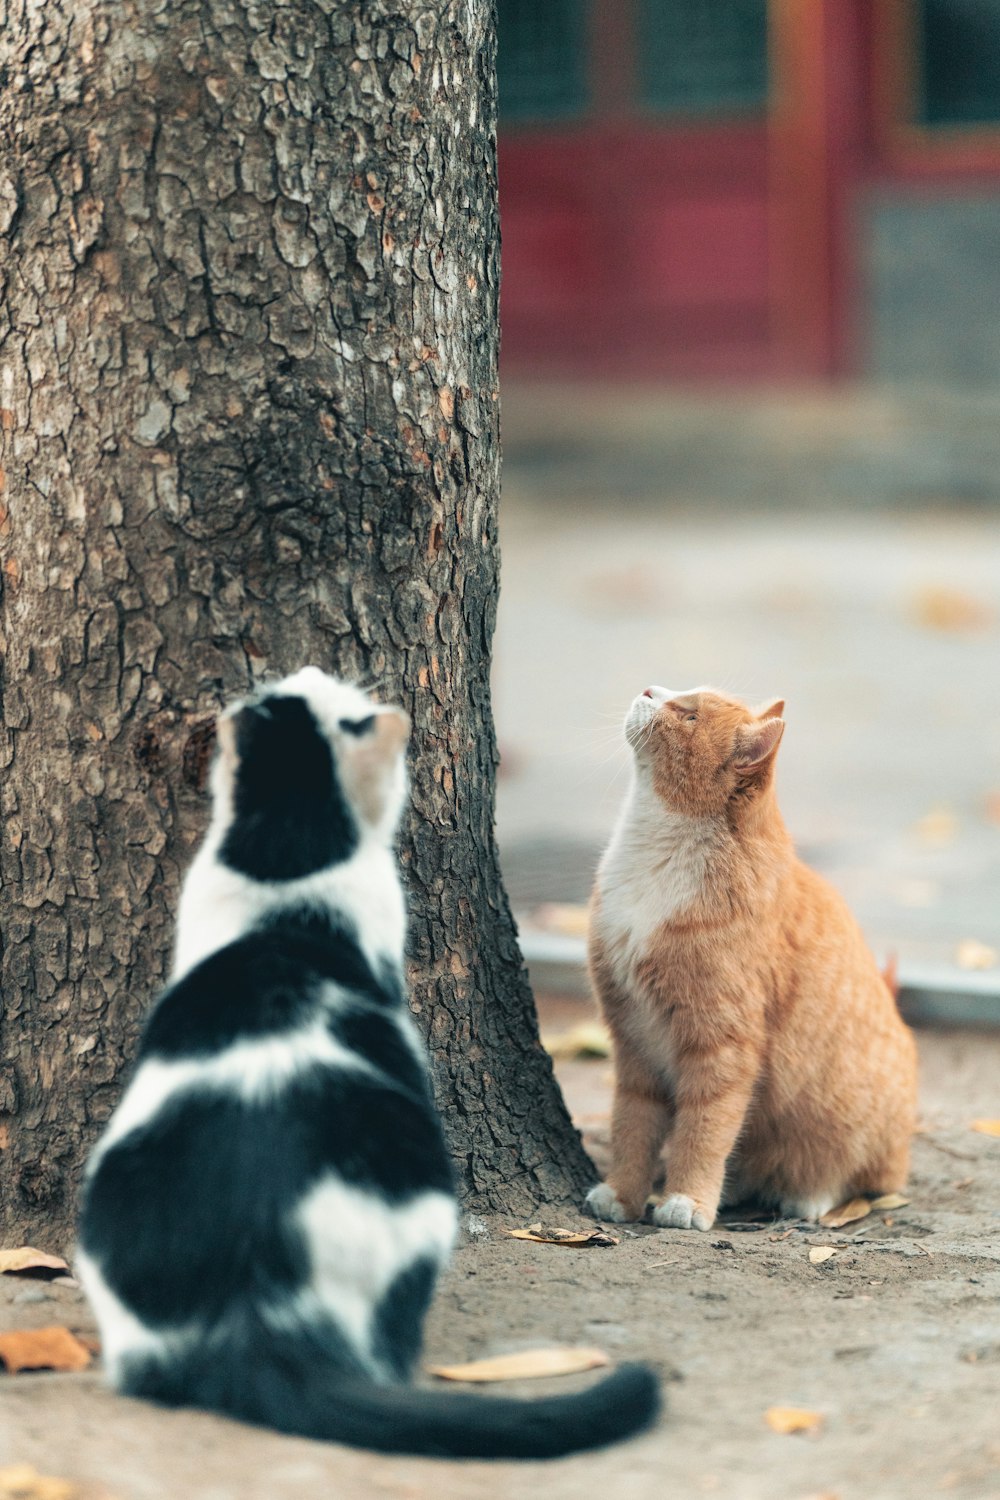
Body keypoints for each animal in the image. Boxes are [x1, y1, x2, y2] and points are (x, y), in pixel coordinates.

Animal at [581, 684, 917, 1230]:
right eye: (678, 693)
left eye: (689, 715)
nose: (650, 689)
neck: (656, 857)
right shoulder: (632, 1039)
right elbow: (632, 1125)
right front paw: (623, 1194)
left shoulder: (721, 1046)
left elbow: (705, 1129)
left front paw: (688, 1199)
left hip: (853, 1133)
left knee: (855, 1175)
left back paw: (807, 1196)